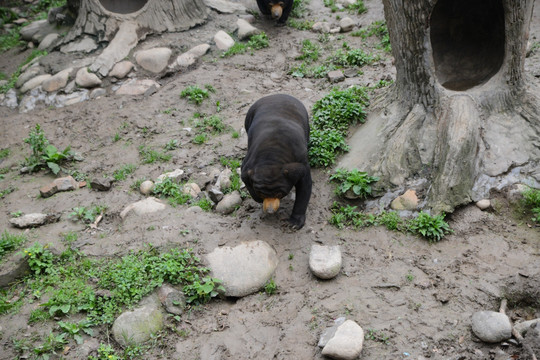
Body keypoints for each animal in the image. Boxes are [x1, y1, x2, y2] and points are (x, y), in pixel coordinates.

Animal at [242, 93, 312, 228]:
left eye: (280, 194)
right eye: (262, 193)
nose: (270, 211)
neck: (272, 158)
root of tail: (276, 95)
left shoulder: (300, 161)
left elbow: (305, 186)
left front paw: (294, 223)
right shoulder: (249, 164)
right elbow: (245, 178)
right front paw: (258, 199)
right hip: (248, 118)